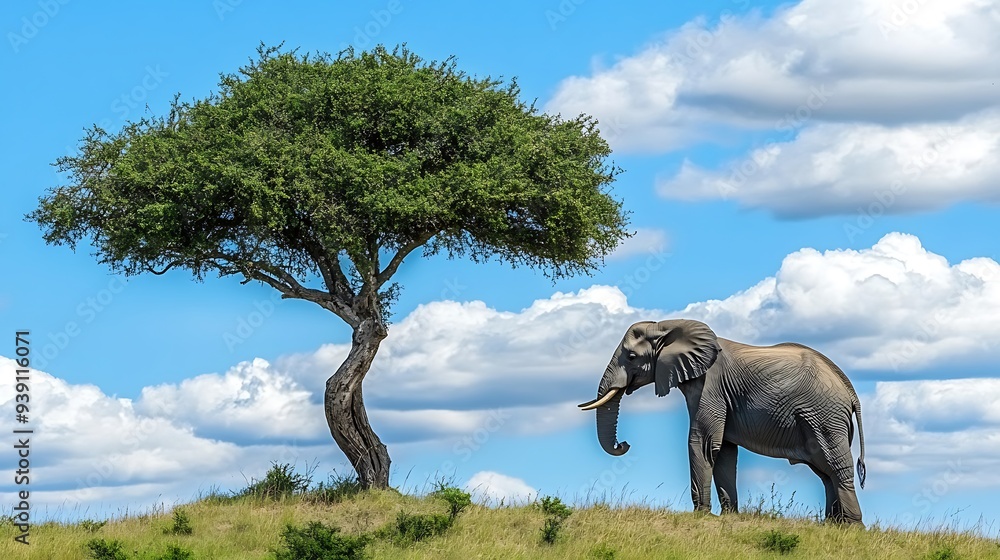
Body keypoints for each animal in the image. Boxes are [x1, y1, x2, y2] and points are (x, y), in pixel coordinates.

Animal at [578, 319, 866, 524]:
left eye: (631, 357)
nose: (624, 444)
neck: (667, 326)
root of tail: (850, 391)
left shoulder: (710, 385)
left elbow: (703, 441)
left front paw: (701, 515)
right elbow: (724, 450)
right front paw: (729, 517)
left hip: (825, 416)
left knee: (835, 466)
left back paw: (852, 527)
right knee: (825, 471)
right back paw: (831, 525)